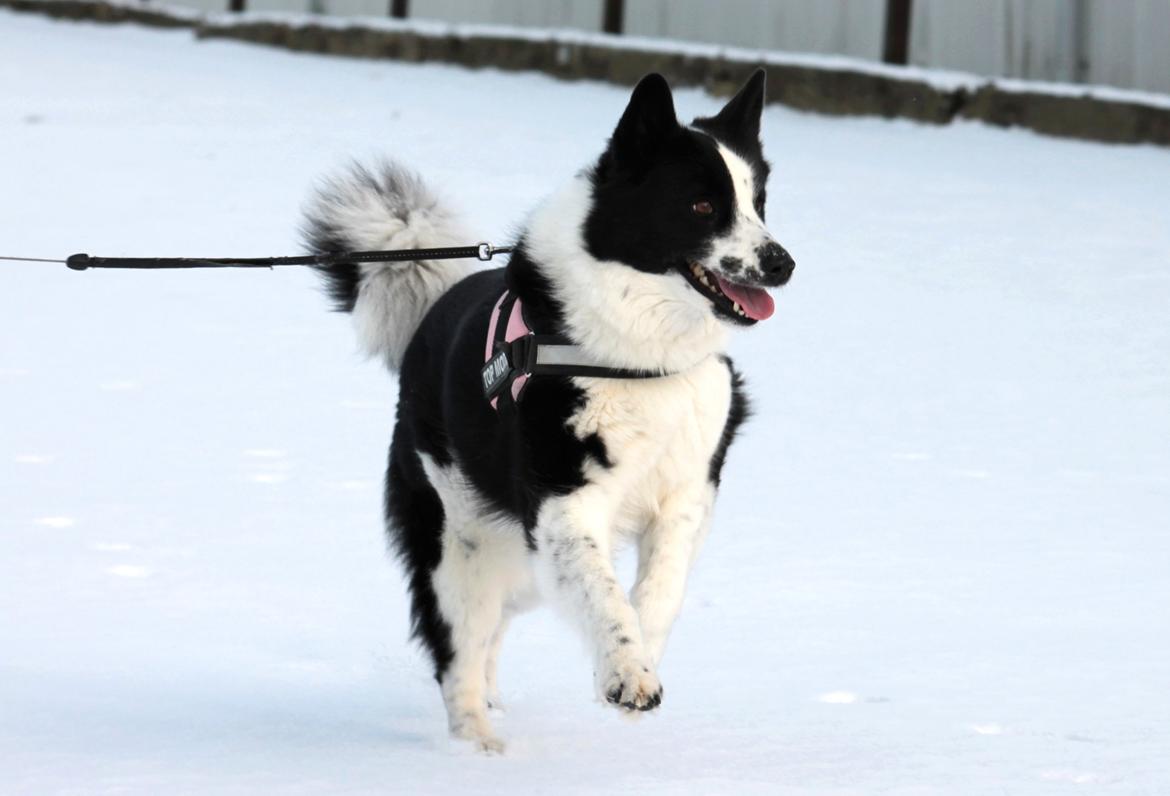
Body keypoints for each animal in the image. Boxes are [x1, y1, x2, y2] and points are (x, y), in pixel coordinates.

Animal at [301, 68, 795, 753]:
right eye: (701, 206)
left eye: (758, 203)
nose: (782, 264)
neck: (635, 355)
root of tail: (431, 311)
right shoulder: (564, 504)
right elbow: (604, 593)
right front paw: (626, 674)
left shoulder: (686, 495)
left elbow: (658, 591)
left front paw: (636, 661)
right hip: (459, 543)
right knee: (458, 649)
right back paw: (478, 750)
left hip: (516, 560)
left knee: (492, 633)